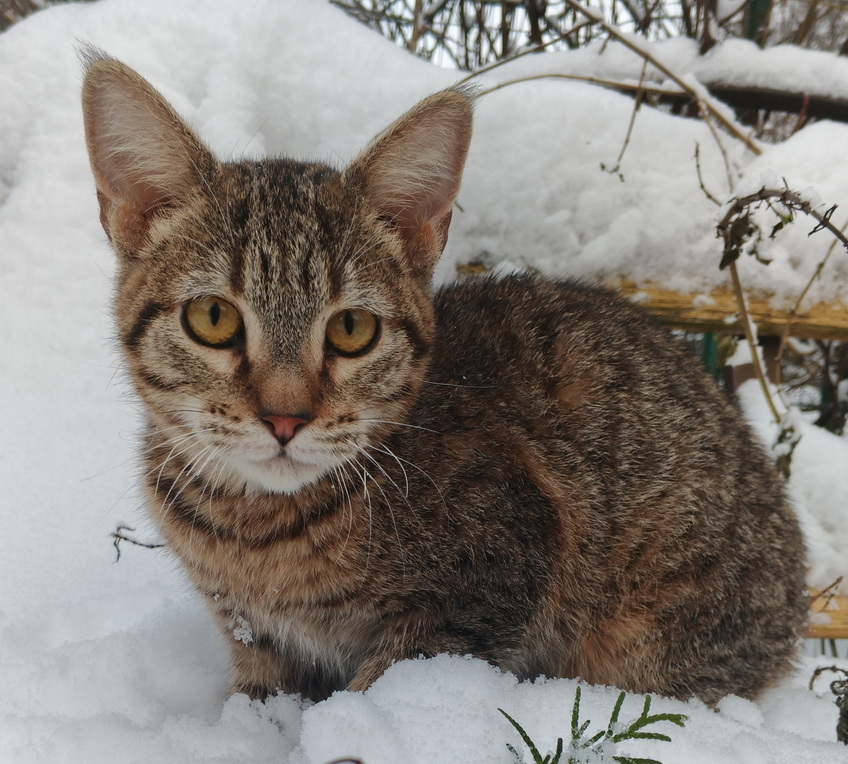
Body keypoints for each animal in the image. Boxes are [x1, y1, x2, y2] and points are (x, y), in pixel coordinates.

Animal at [81, 53, 808, 706]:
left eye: (352, 329)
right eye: (213, 317)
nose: (285, 418)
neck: (254, 537)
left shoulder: (485, 587)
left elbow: (380, 688)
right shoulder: (258, 638)